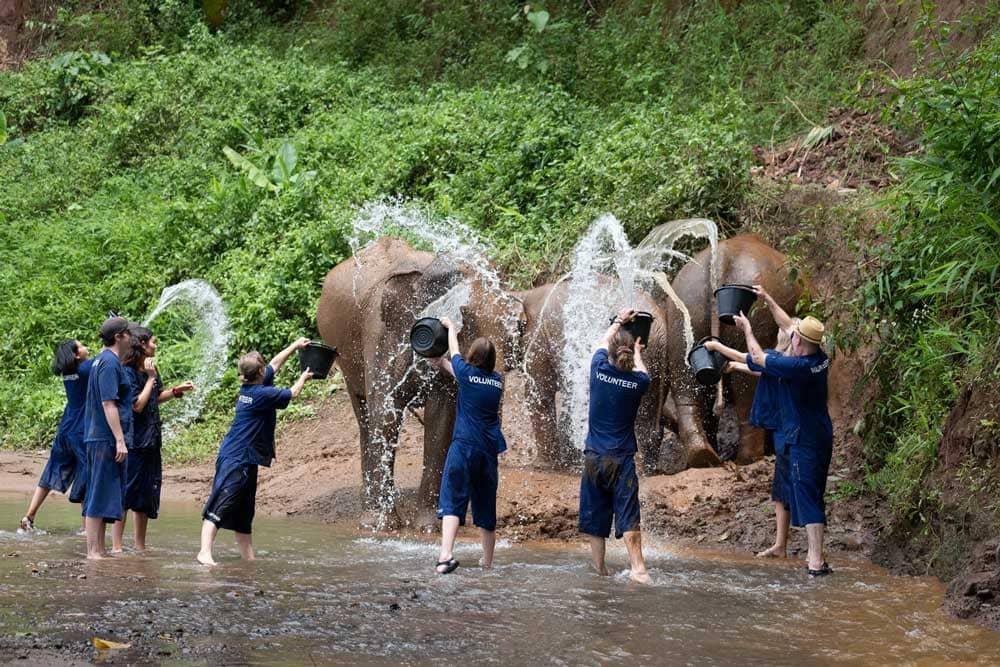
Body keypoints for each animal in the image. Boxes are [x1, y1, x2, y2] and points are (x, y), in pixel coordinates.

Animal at [318, 236, 524, 528]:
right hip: (346, 361)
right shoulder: (378, 333)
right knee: (365, 418)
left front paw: (428, 527)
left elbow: (441, 418)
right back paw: (370, 515)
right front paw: (384, 526)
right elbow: (386, 415)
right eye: (465, 315)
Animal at [656, 235, 804, 470]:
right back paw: (750, 459)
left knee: (687, 386)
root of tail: (720, 259)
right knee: (747, 389)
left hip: (685, 309)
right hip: (754, 315)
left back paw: (704, 457)